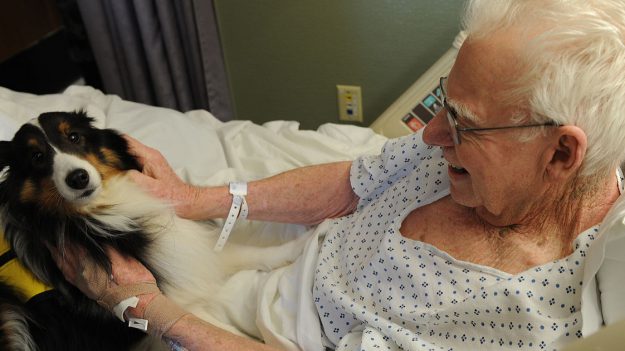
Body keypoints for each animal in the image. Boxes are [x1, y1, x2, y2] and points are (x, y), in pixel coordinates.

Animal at [0, 111, 304, 350]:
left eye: (74, 137)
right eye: (37, 156)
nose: (78, 178)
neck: (104, 209)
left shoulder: (185, 255)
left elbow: (243, 252)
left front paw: (298, 247)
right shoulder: (178, 304)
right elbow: (221, 331)